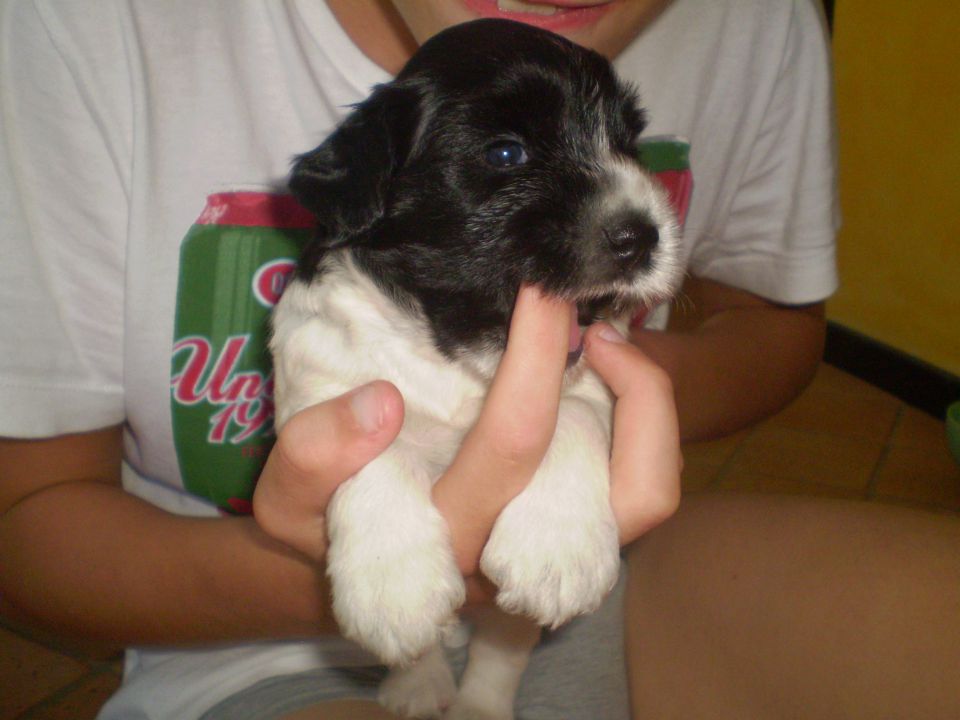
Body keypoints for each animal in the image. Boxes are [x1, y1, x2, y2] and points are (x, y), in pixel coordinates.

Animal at [270, 18, 680, 719]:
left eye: (628, 142)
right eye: (506, 154)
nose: (643, 235)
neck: (457, 358)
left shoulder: (595, 374)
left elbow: (570, 413)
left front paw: (558, 544)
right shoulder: (318, 387)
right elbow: (372, 444)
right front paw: (395, 586)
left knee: (502, 646)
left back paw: (475, 703)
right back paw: (417, 683)